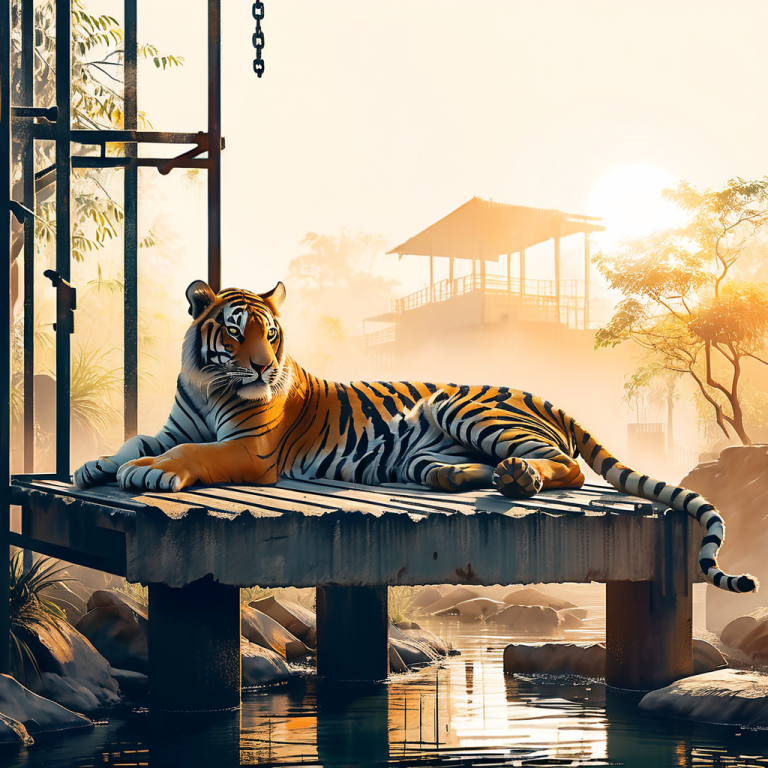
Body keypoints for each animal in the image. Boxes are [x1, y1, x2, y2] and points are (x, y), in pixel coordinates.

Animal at [74, 279, 758, 595]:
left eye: (271, 335)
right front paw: (95, 467)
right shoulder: (172, 423)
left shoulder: (250, 449)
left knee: (567, 465)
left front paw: (153, 473)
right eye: (238, 331)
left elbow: (192, 452)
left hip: (466, 409)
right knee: (478, 469)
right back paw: (481, 476)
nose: (265, 369)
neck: (209, 382)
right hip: (428, 452)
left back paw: (521, 476)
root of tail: (545, 395)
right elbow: (136, 442)